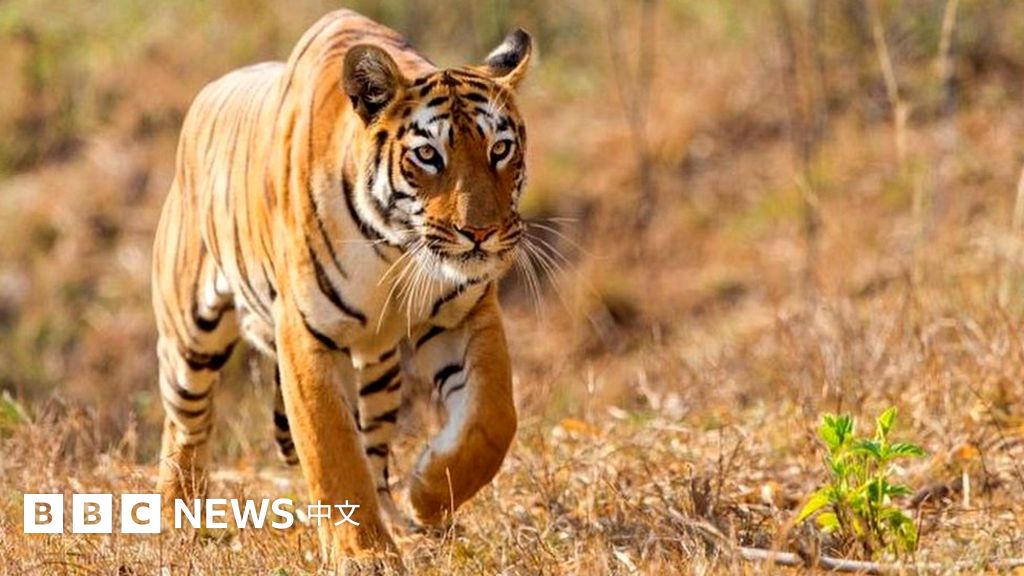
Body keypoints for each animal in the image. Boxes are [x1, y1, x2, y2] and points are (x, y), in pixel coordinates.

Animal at [152, 9, 532, 566]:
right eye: (428, 155)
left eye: (500, 149)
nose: (479, 233)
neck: (397, 247)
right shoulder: (306, 335)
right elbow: (332, 453)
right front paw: (364, 554)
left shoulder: (464, 314)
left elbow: (493, 420)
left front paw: (427, 494)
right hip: (190, 339)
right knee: (185, 426)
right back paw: (180, 525)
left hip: (379, 369)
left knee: (374, 445)